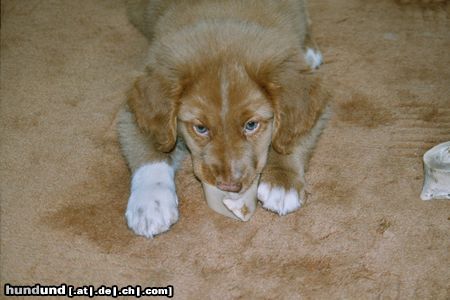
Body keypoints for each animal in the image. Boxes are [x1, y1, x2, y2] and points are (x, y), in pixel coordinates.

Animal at [118, 0, 330, 239]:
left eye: (251, 125)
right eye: (201, 128)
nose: (229, 186)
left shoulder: (314, 107)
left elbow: (291, 139)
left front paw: (282, 183)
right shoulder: (134, 111)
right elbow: (149, 151)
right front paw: (149, 204)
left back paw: (309, 51)